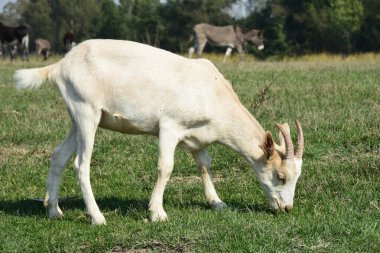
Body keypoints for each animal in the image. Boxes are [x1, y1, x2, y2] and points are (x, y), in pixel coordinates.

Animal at [14, 39, 304, 225]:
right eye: (280, 176)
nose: (287, 207)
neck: (212, 93)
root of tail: (60, 66)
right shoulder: (170, 126)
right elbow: (166, 167)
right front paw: (157, 213)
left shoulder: (197, 137)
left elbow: (205, 164)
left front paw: (216, 202)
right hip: (87, 112)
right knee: (80, 163)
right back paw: (97, 217)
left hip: (77, 118)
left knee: (58, 156)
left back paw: (54, 211)